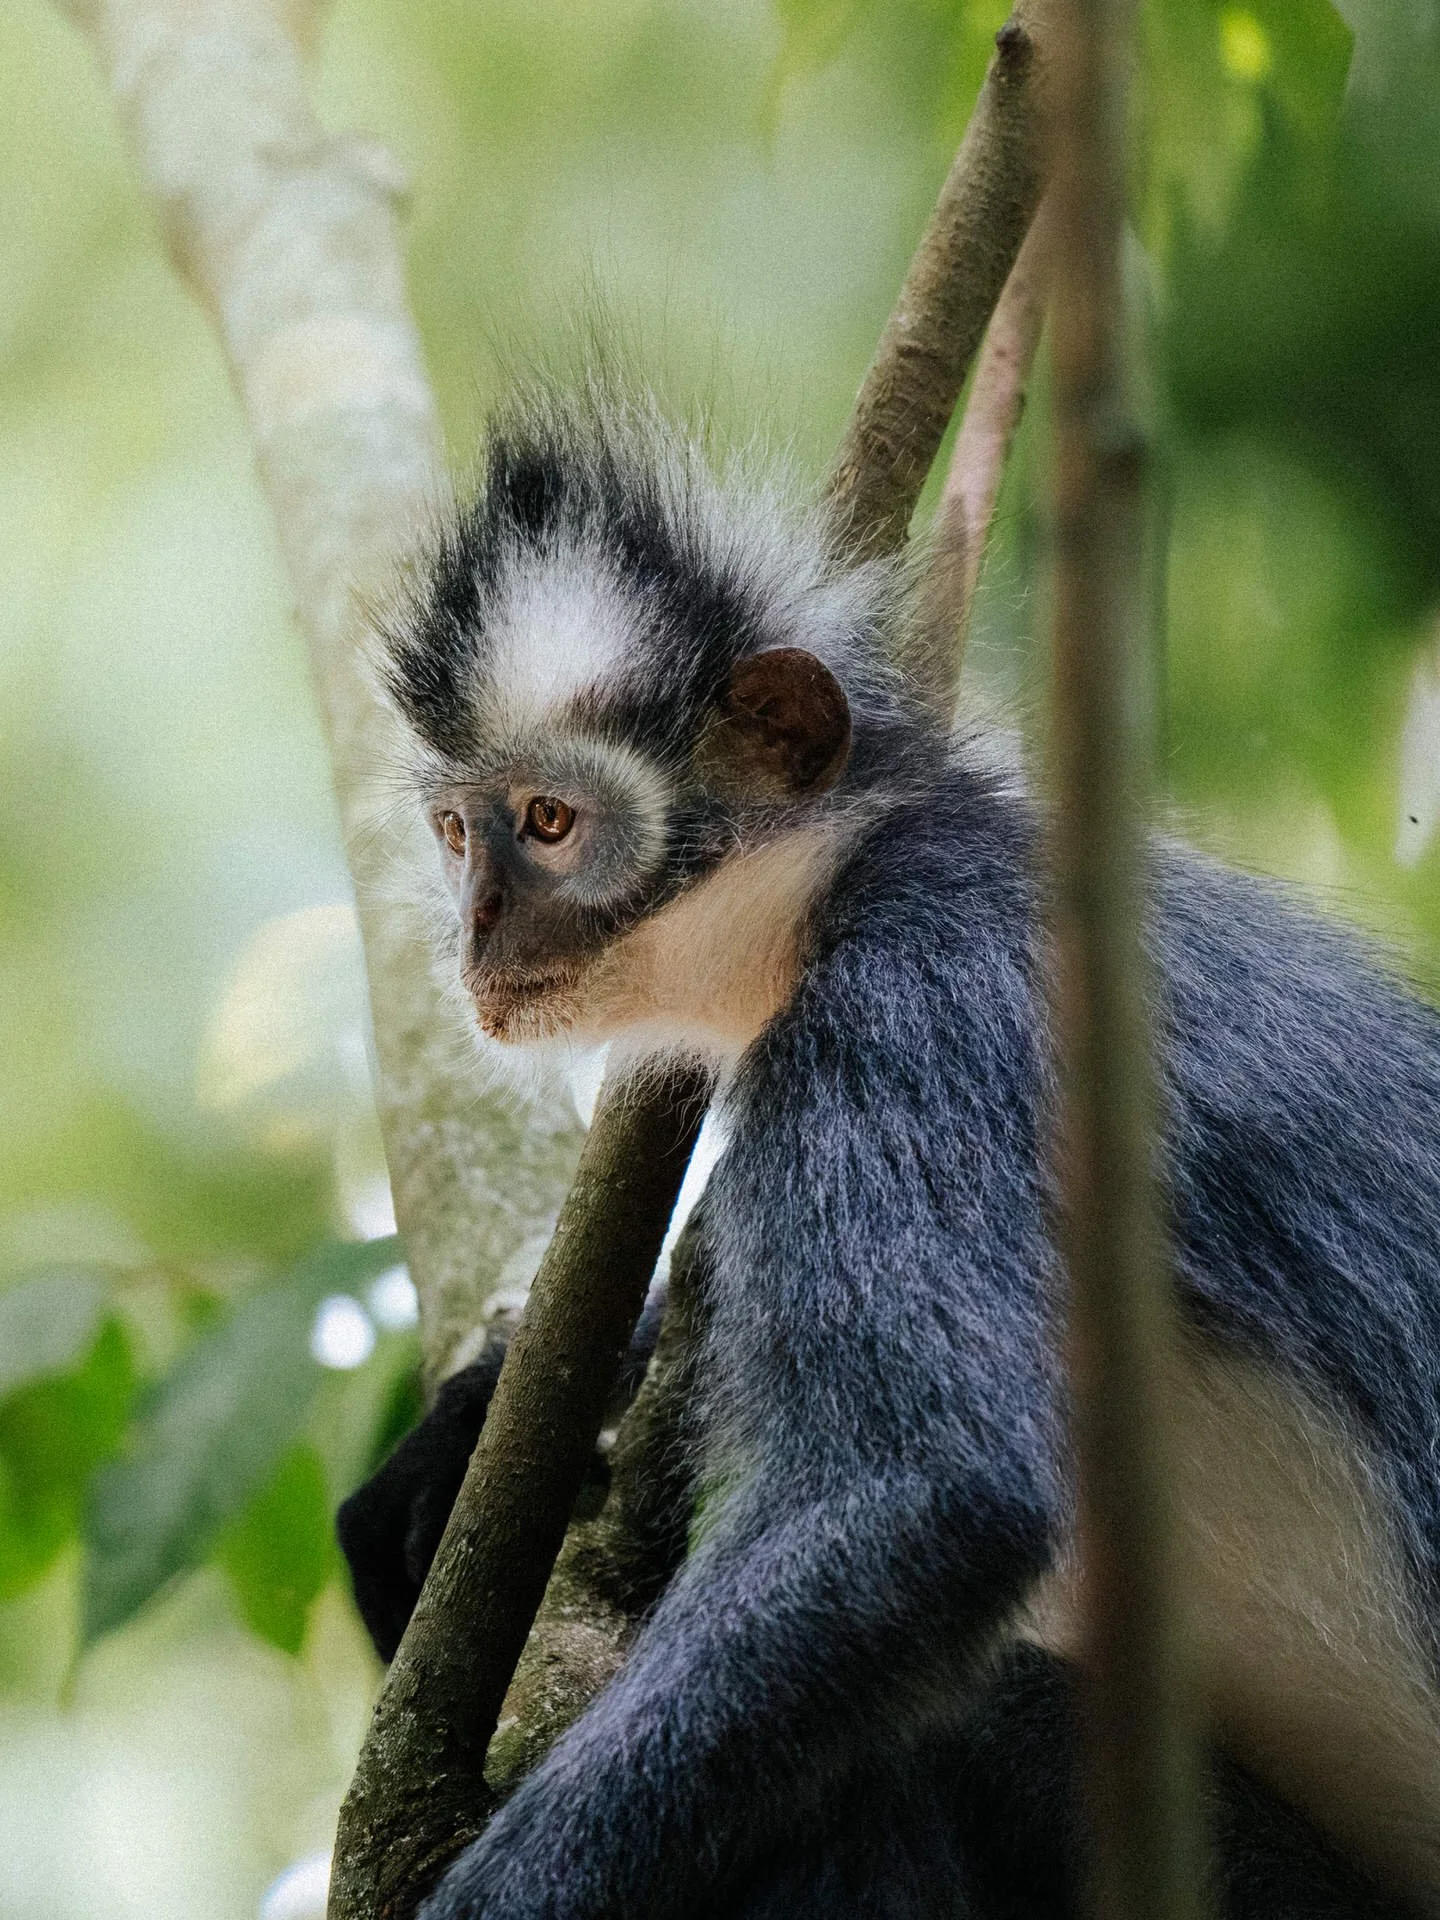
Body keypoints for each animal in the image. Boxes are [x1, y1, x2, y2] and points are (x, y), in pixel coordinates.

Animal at [338, 384, 1440, 1920]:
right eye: (455, 834)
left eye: (548, 824)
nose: (478, 933)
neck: (847, 868)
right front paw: (475, 1428)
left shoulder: (922, 992)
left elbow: (929, 1503)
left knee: (920, 1743)